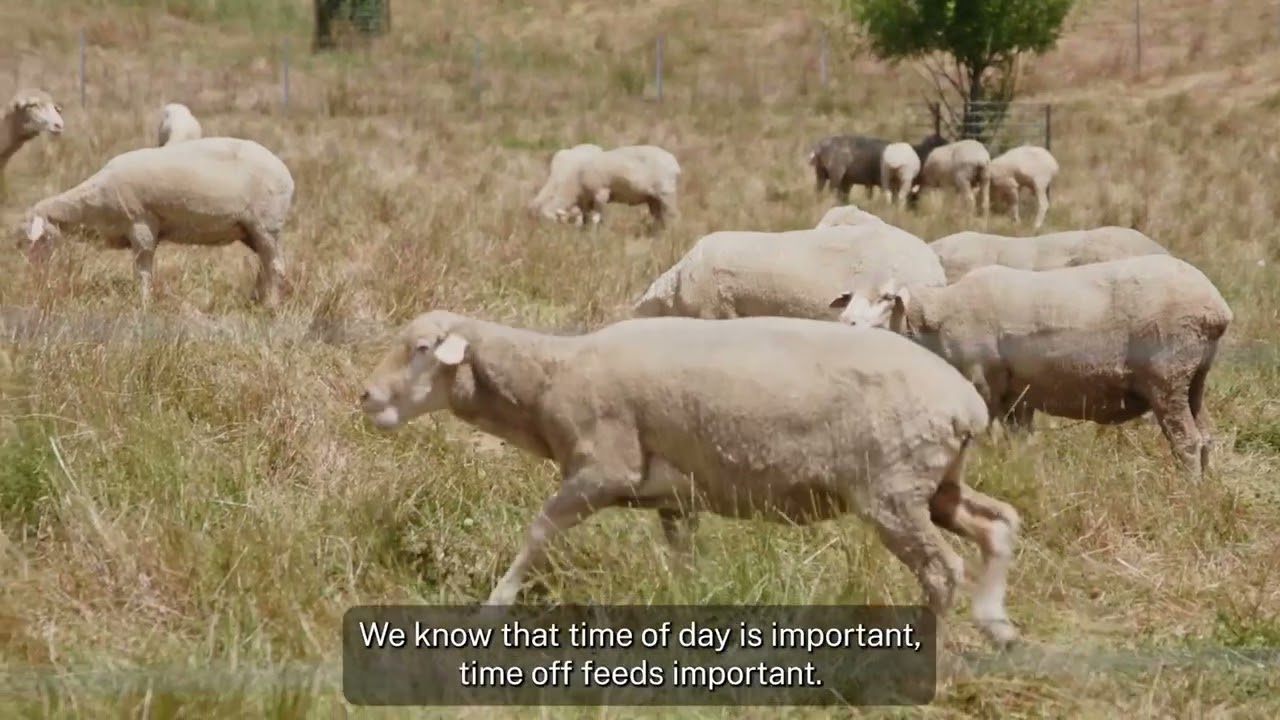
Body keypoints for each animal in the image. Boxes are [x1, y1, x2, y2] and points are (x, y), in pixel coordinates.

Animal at [20, 136, 295, 308]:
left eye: (38, 239)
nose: (33, 275)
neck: (93, 206)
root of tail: (285, 173)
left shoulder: (141, 225)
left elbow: (142, 271)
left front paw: (143, 304)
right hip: (250, 231)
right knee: (266, 265)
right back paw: (257, 300)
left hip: (266, 226)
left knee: (276, 267)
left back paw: (270, 307)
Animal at [358, 310, 1023, 648]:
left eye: (421, 349)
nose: (365, 396)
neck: (550, 377)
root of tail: (967, 406)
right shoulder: (673, 497)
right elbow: (681, 560)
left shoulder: (602, 468)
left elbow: (539, 530)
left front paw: (492, 609)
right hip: (933, 486)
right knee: (998, 526)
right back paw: (996, 622)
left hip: (893, 492)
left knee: (943, 569)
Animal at [828, 254, 1233, 477]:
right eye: (849, 297)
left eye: (886, 298)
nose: (846, 324)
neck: (937, 320)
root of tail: (1216, 309)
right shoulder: (1016, 396)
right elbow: (1021, 444)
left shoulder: (983, 384)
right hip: (1193, 379)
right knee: (1207, 436)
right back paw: (1209, 488)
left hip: (1168, 376)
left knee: (1187, 441)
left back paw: (1189, 491)